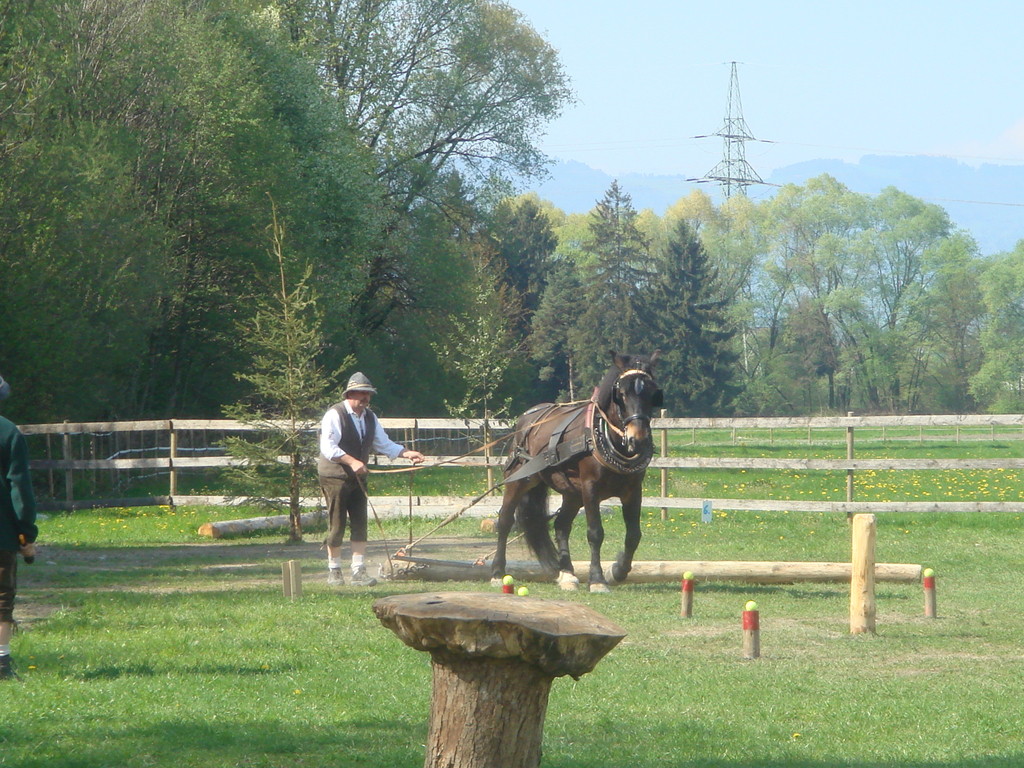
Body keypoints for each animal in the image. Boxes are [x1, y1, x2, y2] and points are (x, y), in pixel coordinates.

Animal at [490, 351, 663, 593]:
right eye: (620, 393)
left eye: (652, 392)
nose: (637, 439)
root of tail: (527, 418)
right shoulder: (590, 488)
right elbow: (595, 533)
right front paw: (597, 579)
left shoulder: (633, 491)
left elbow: (634, 535)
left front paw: (617, 571)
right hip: (520, 480)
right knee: (505, 521)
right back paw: (497, 572)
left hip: (572, 493)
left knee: (561, 526)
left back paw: (567, 574)